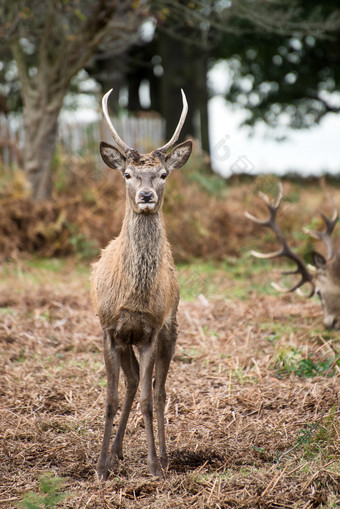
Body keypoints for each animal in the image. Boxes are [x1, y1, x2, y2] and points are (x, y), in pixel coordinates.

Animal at [90, 85, 193, 478]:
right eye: (128, 174)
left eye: (163, 174)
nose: (146, 196)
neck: (133, 297)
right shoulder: (109, 328)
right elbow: (110, 398)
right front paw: (101, 467)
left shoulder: (150, 331)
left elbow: (150, 400)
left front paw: (153, 466)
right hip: (126, 340)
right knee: (133, 381)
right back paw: (117, 451)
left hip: (171, 328)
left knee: (159, 390)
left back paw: (164, 456)